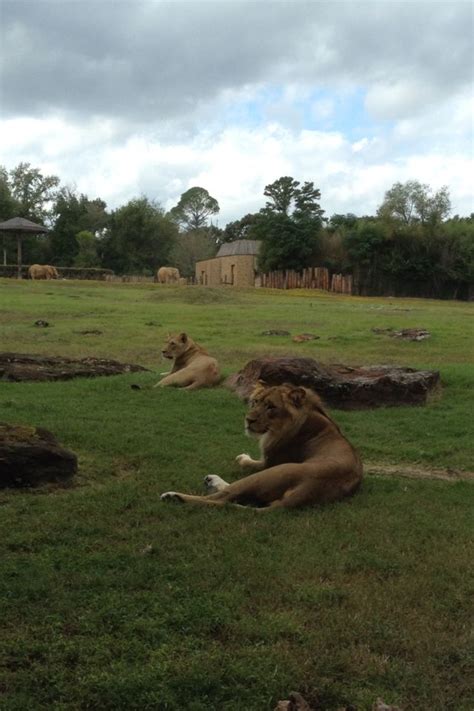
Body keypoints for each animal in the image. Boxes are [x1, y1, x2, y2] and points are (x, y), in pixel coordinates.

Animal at [161, 384, 362, 512]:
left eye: (271, 407)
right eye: (255, 402)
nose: (248, 420)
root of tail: (303, 494)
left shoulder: (268, 462)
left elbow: (246, 464)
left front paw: (242, 458)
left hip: (270, 472)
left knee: (223, 497)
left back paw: (174, 496)